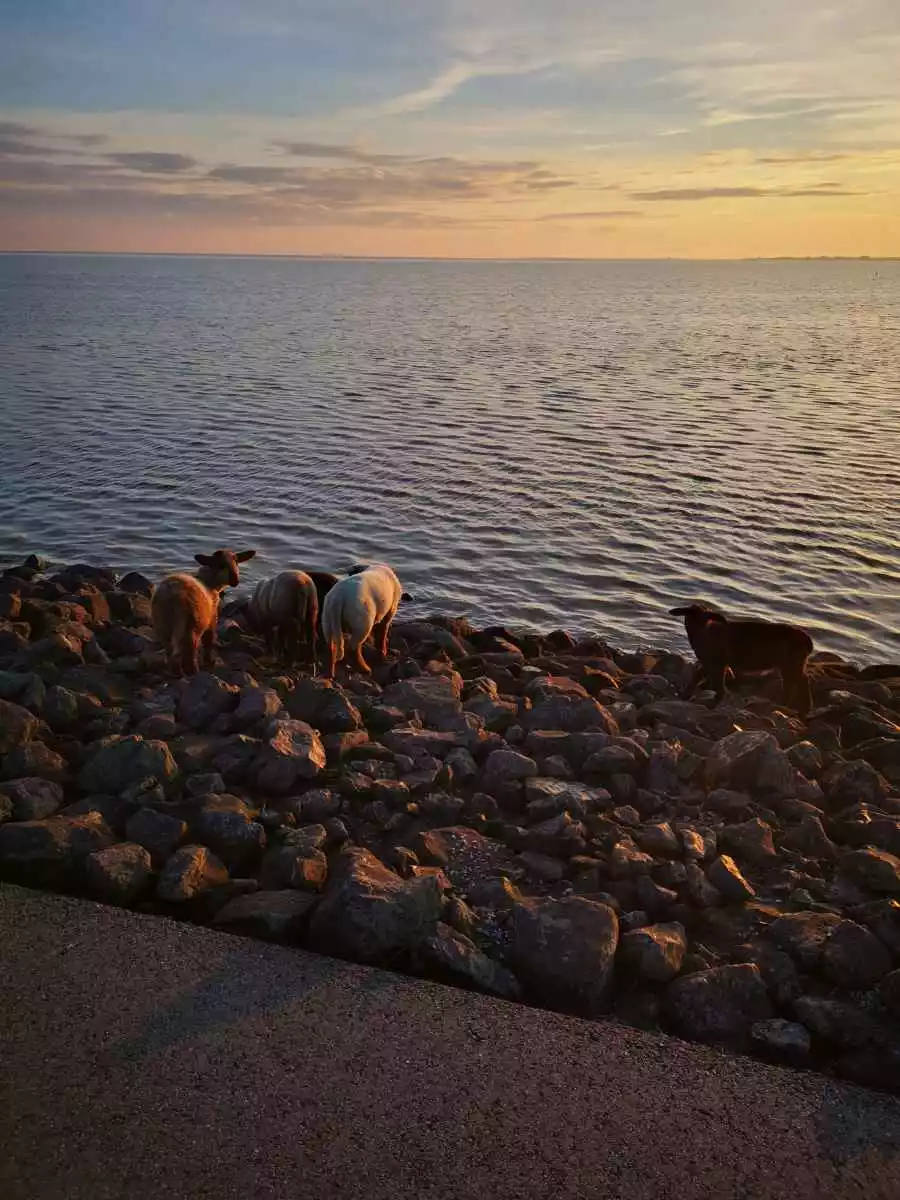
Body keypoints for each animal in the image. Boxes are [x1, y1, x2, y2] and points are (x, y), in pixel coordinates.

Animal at [151, 548, 255, 676]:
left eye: (236, 562)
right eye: (221, 565)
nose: (235, 581)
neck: (210, 584)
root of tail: (171, 596)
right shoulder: (212, 618)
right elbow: (209, 640)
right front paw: (209, 661)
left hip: (163, 625)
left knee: (171, 651)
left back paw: (175, 672)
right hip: (191, 625)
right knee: (190, 650)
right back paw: (193, 671)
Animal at [669, 602, 813, 714]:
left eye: (708, 618)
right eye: (692, 615)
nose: (702, 629)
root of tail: (806, 640)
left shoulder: (718, 663)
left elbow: (717, 685)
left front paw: (713, 704)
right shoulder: (708, 662)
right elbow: (696, 678)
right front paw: (685, 696)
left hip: (792, 663)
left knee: (800, 682)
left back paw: (794, 706)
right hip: (791, 664)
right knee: (797, 682)